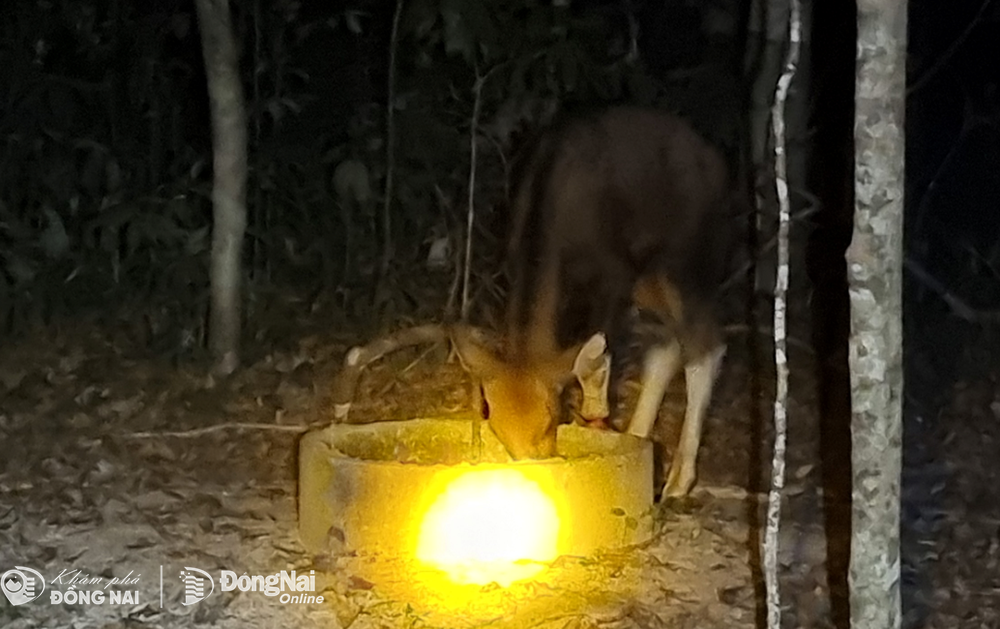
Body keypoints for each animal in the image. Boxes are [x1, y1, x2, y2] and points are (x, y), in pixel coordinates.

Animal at [450, 105, 740, 496]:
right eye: (497, 426)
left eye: (549, 422)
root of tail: (716, 163)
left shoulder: (614, 276)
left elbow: (595, 360)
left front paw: (596, 419)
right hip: (649, 280)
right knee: (666, 346)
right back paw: (638, 440)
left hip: (687, 265)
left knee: (705, 344)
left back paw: (679, 479)